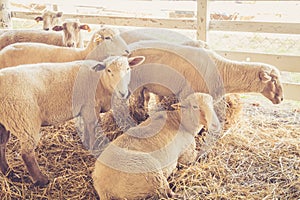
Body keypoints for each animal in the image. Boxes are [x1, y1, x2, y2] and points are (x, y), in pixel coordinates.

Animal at [0, 55, 146, 187]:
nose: (123, 93)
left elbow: (86, 128)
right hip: (24, 119)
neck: (100, 81)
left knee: (2, 145)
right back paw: (41, 180)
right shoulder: (90, 107)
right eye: (109, 70)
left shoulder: (86, 109)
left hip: (6, 122)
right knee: (27, 154)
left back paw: (9, 173)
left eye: (128, 68)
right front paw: (93, 148)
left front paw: (86, 142)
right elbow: (92, 129)